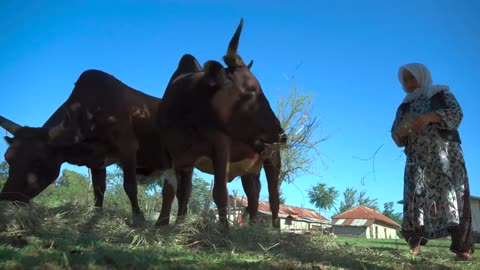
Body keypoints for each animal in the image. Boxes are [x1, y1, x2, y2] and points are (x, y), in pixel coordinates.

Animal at [0, 69, 191, 221]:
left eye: (38, 163)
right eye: (7, 158)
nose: (7, 199)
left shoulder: (128, 148)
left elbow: (130, 186)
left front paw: (138, 218)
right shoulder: (97, 160)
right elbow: (98, 190)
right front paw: (96, 215)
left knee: (184, 192)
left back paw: (179, 222)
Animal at [158, 18, 286, 230]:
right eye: (250, 89)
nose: (280, 132)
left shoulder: (221, 147)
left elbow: (219, 192)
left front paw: (224, 229)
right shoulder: (174, 155)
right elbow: (175, 191)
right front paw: (165, 224)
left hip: (273, 160)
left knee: (273, 196)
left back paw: (274, 229)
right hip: (250, 168)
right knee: (253, 195)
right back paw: (251, 226)